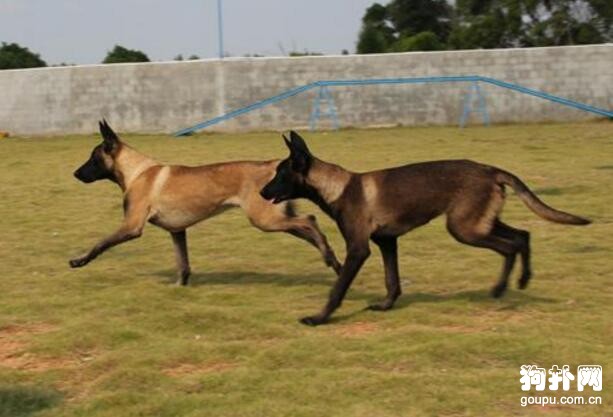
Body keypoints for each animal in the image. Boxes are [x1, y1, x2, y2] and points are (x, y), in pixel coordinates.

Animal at [70, 120, 344, 282]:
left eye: (93, 158)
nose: (75, 173)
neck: (137, 171)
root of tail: (273, 164)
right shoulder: (177, 231)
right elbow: (183, 265)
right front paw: (179, 287)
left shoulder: (131, 226)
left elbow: (101, 243)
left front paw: (79, 260)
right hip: (277, 219)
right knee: (310, 230)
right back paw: (333, 261)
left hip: (265, 220)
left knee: (310, 220)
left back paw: (330, 257)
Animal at [258, 131, 588, 324]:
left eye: (280, 174)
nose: (261, 192)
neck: (337, 187)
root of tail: (489, 169)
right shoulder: (386, 243)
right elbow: (392, 281)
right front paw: (386, 306)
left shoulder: (358, 250)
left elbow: (337, 288)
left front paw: (319, 317)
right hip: (480, 222)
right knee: (522, 236)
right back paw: (523, 280)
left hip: (464, 229)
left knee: (510, 246)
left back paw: (500, 288)